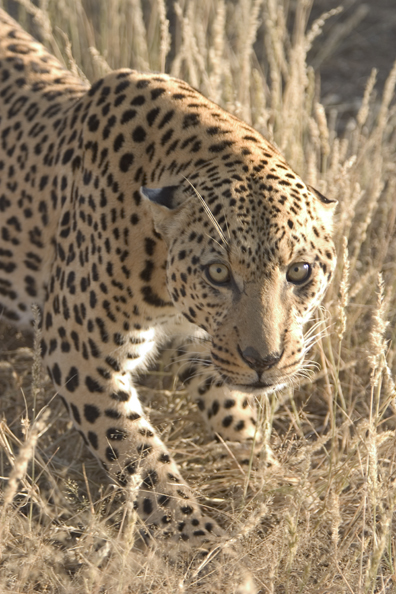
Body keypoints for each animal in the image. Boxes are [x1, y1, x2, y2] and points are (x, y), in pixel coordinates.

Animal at [0, 5, 338, 552]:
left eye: (299, 271)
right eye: (218, 273)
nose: (264, 362)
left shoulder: (206, 341)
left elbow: (234, 411)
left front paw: (270, 478)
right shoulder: (76, 348)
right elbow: (139, 454)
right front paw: (197, 539)